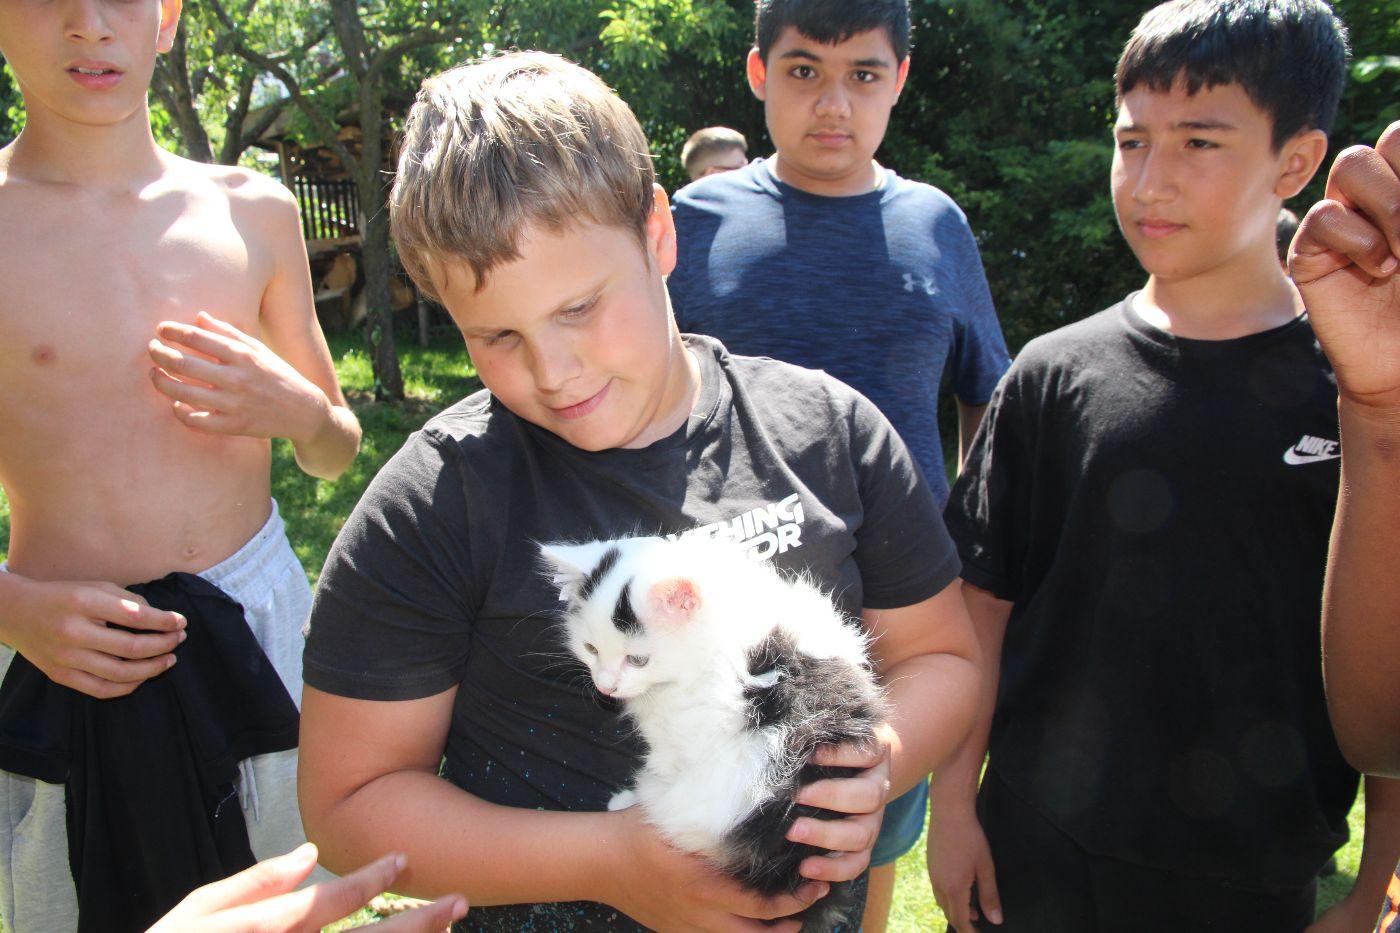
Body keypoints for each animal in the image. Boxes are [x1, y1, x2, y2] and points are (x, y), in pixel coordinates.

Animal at [540, 535, 888, 931]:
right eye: (591, 649)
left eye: (637, 660)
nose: (605, 686)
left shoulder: (687, 728)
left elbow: (667, 761)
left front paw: (630, 800)